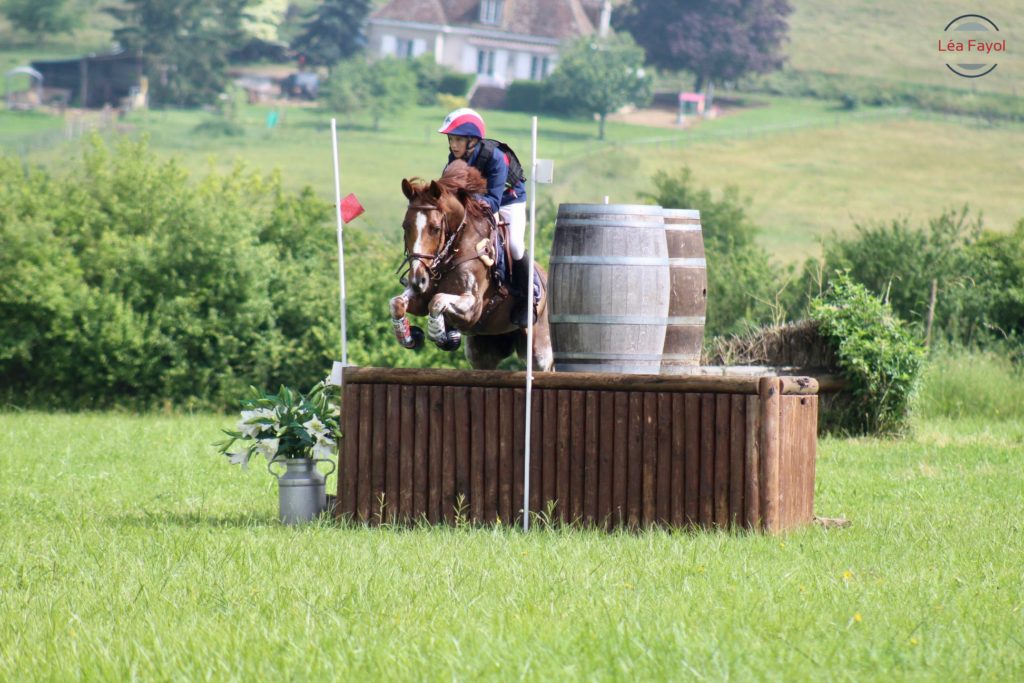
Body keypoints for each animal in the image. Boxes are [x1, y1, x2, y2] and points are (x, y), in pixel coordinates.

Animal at [389, 161, 552, 374]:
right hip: (483, 352)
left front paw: (439, 333)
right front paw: (409, 337)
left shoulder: (472, 308)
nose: (418, 280)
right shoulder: (422, 297)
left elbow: (437, 301)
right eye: (405, 226)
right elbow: (397, 303)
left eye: (435, 228)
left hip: (539, 351)